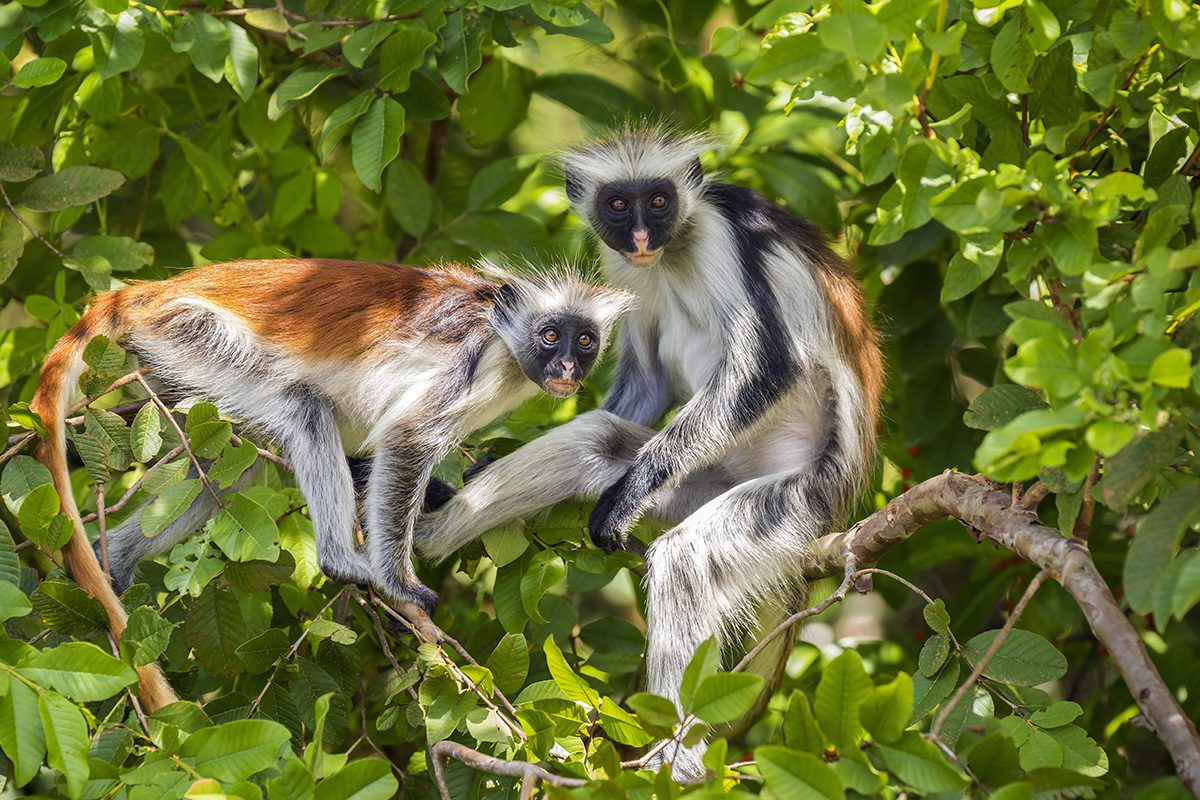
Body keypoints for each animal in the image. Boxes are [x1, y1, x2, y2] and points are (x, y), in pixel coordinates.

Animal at [30, 260, 628, 710]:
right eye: (550, 336)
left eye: (585, 340)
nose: (568, 367)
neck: (502, 333)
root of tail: (153, 290)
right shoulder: (471, 360)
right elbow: (407, 438)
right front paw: (399, 583)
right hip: (191, 332)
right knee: (304, 408)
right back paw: (343, 561)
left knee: (231, 469)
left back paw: (115, 561)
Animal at [417, 130, 888, 777]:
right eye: (619, 205)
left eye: (660, 201)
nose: (642, 237)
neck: (672, 251)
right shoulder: (622, 267)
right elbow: (645, 383)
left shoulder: (720, 235)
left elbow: (768, 367)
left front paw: (628, 496)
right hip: (703, 477)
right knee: (597, 440)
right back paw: (422, 536)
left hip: (797, 497)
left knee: (687, 558)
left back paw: (678, 763)